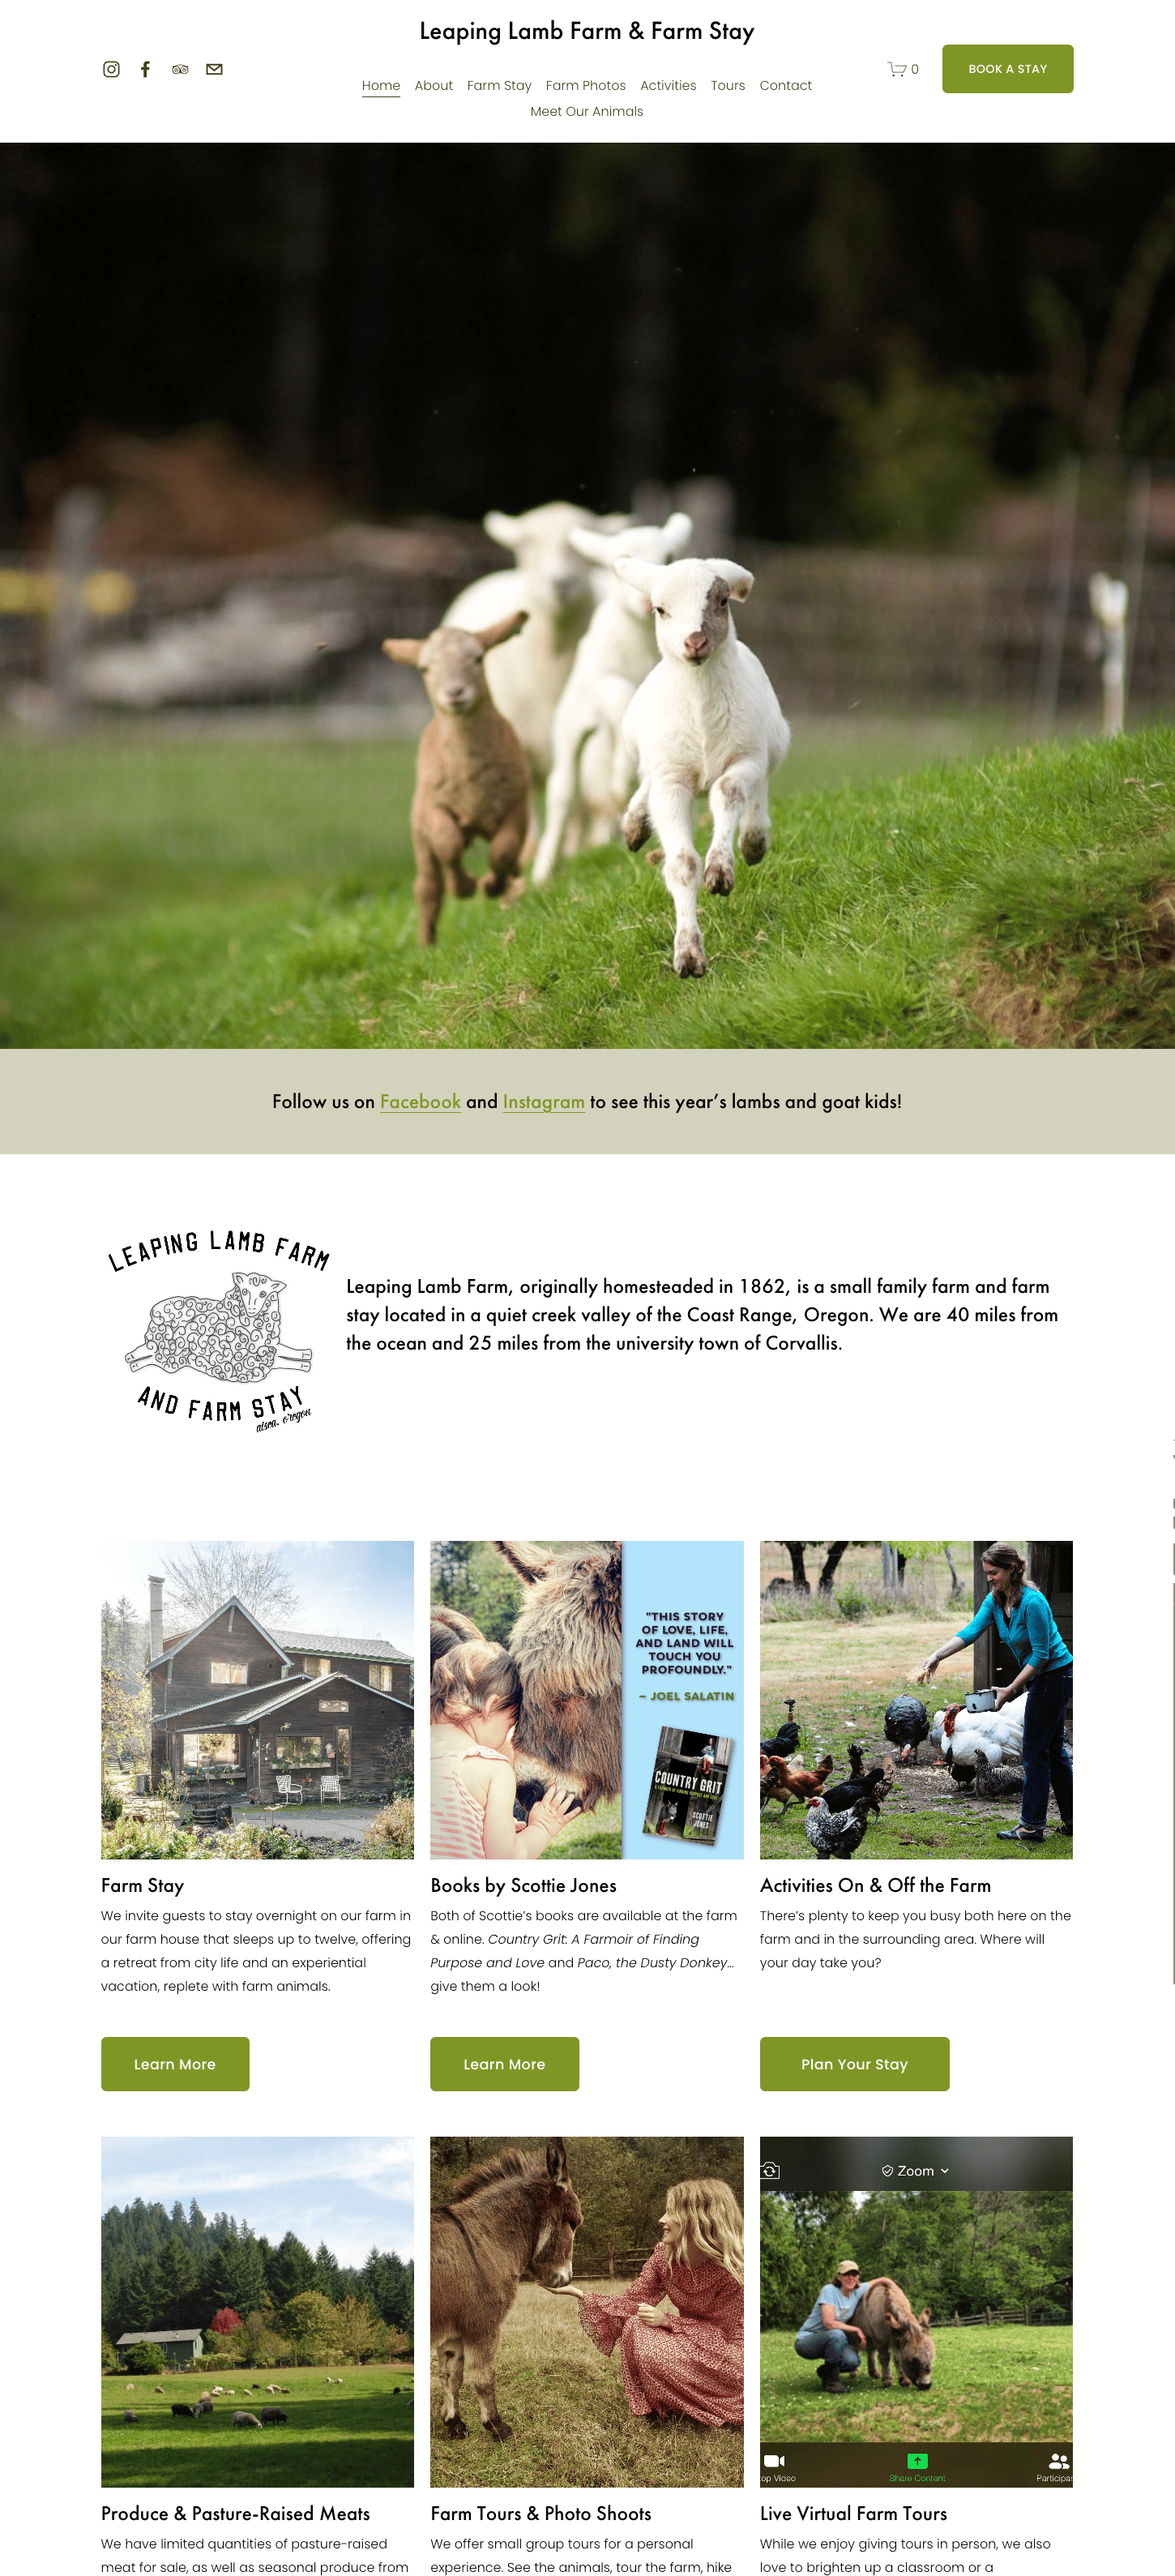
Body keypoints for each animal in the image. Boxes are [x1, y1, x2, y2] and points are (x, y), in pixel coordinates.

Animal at [125, 1271, 312, 1383]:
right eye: (244, 1291)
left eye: (263, 1293)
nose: (251, 1309)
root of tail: (157, 1309)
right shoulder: (253, 1362)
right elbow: (283, 1362)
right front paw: (304, 1365)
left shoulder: (267, 1350)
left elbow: (286, 1351)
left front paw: (306, 1355)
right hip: (168, 1354)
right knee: (150, 1355)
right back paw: (133, 1364)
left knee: (146, 1350)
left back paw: (130, 1359)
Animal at [382, 614, 533, 946]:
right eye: (424, 669)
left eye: (478, 658)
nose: (455, 693)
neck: (471, 779)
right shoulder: (433, 807)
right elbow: (447, 843)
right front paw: (463, 887)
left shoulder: (518, 803)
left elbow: (504, 851)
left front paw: (491, 886)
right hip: (418, 828)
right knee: (427, 886)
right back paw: (426, 943)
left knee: (511, 859)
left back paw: (508, 887)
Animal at [531, 511, 694, 886]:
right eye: (616, 567)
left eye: (669, 558)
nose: (647, 601)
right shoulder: (602, 678)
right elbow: (619, 693)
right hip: (570, 725)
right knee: (563, 792)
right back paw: (544, 869)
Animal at [614, 554, 791, 978]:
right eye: (660, 609)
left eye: (723, 601)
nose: (695, 642)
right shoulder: (671, 778)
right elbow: (680, 864)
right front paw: (688, 956)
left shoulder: (745, 755)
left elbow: (729, 791)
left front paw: (721, 871)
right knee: (646, 782)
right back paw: (634, 826)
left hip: (770, 743)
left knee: (757, 791)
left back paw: (754, 840)